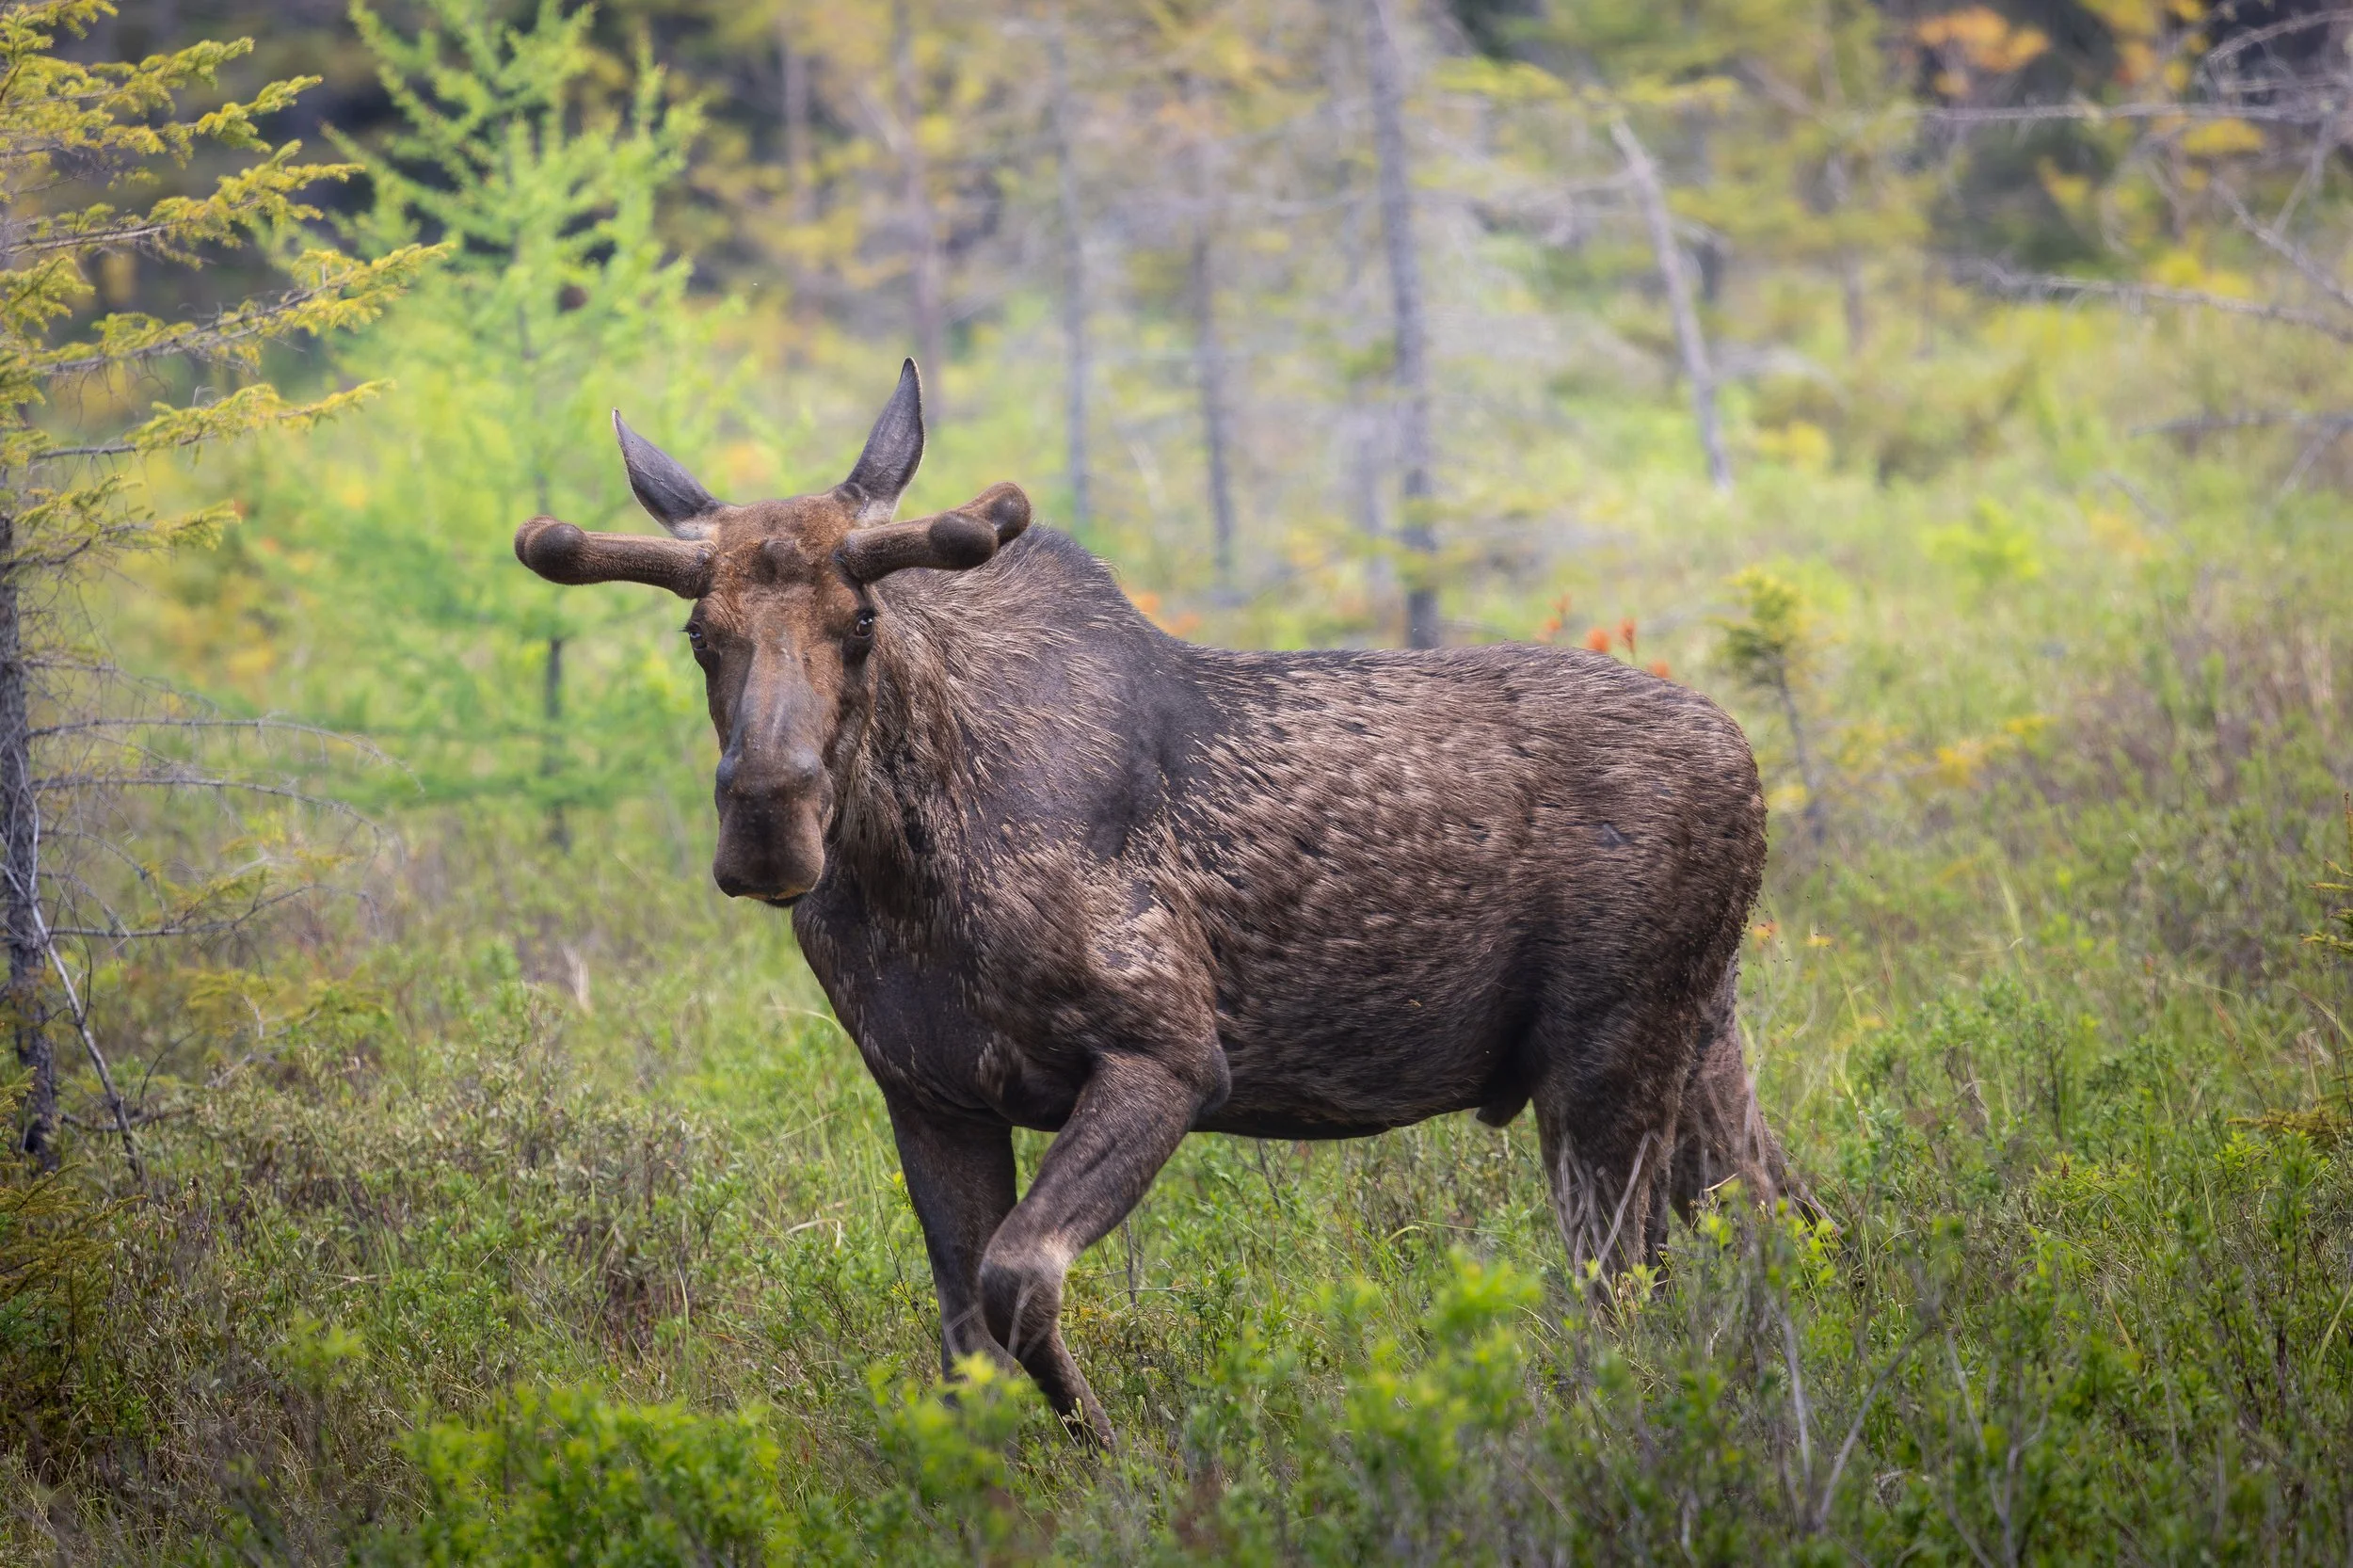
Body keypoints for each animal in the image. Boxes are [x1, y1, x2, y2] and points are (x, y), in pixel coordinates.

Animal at [514, 361, 1795, 1445]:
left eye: (862, 621)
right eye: (699, 632)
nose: (767, 820)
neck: (903, 876)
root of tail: (1748, 764)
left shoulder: (1167, 1054)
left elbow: (1017, 1281)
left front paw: (1115, 1455)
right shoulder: (927, 1093)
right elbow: (961, 1340)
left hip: (1606, 1062)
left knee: (1627, 1283)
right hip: (1701, 1048)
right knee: (1776, 1223)